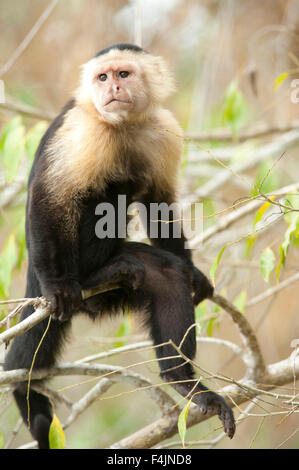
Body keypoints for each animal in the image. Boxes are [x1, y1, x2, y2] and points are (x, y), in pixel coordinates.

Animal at [3, 45, 236, 448]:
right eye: (102, 77)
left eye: (123, 74)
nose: (111, 87)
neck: (123, 125)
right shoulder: (83, 132)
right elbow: (51, 200)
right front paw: (58, 287)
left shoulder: (164, 130)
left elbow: (160, 205)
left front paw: (193, 271)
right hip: (61, 264)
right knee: (107, 190)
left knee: (165, 274)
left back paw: (182, 381)